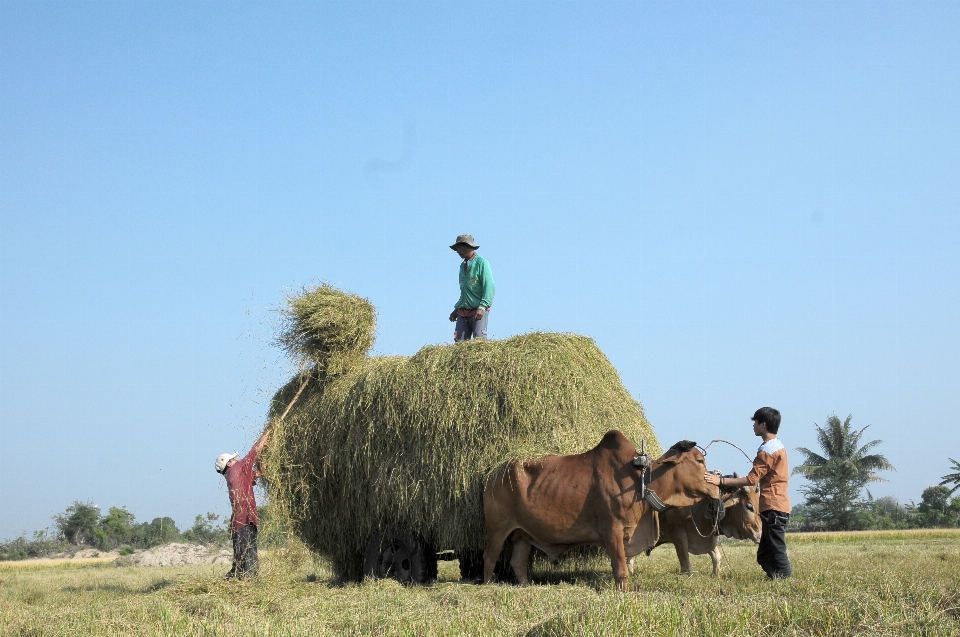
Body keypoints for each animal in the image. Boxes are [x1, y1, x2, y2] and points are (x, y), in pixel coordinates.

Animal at [484, 432, 716, 592]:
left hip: (522, 534)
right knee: (490, 557)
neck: (640, 480)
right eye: (699, 460)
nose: (717, 486)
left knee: (518, 562)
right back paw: (487, 586)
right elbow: (620, 569)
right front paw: (623, 592)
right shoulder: (612, 531)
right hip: (497, 528)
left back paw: (525, 586)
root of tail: (493, 473)